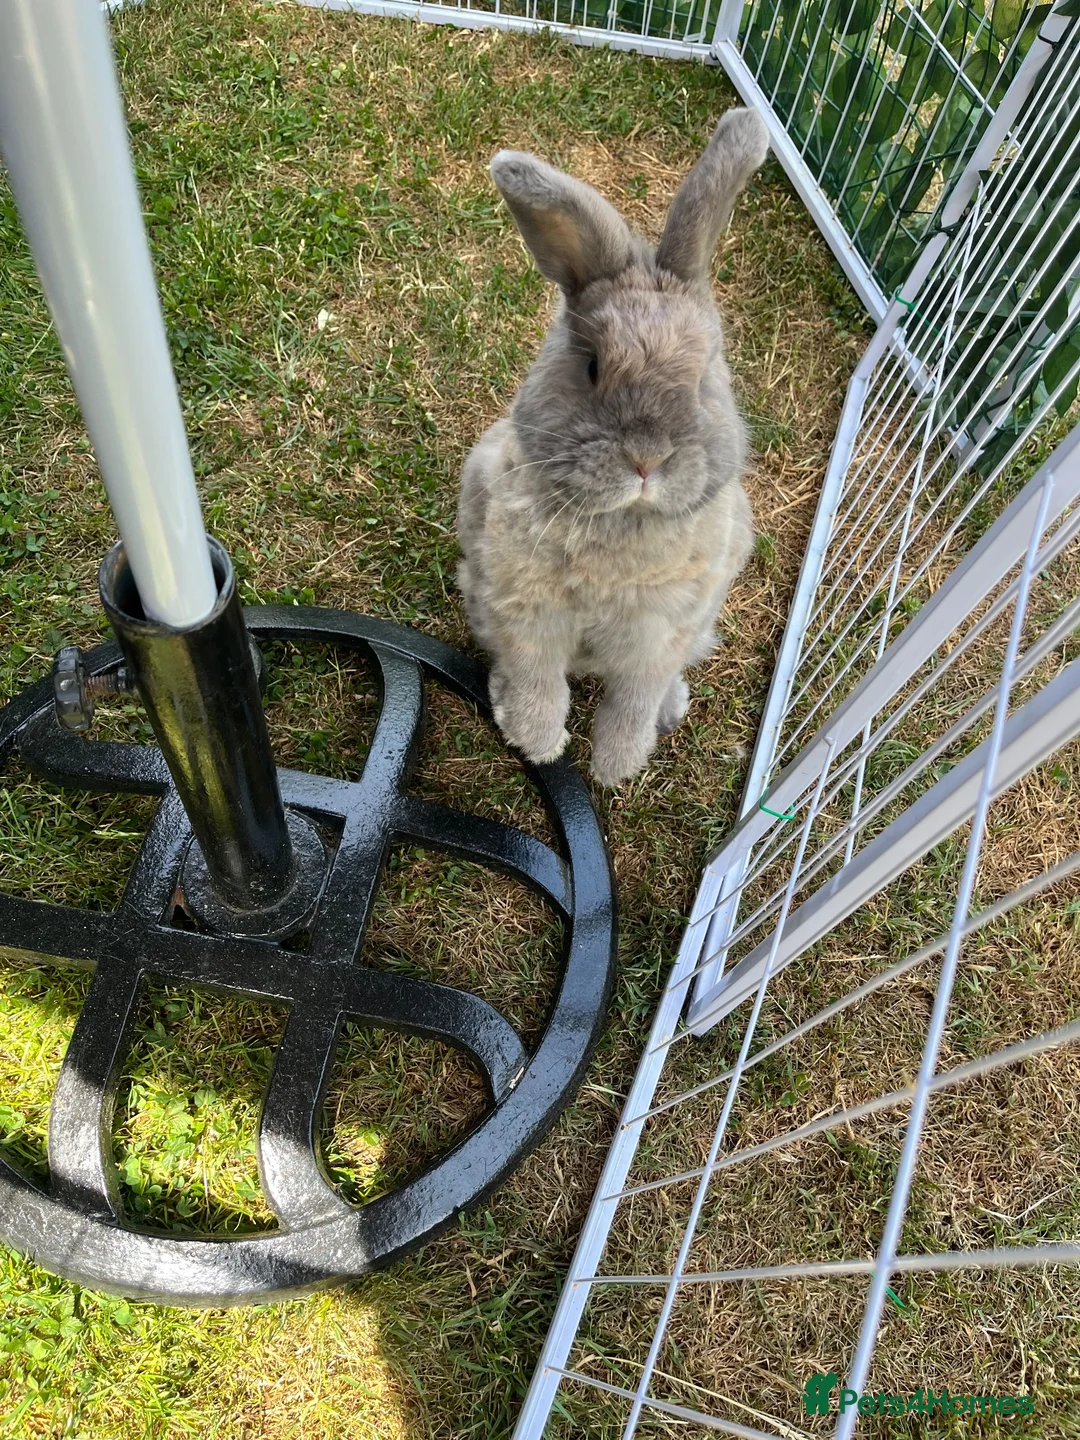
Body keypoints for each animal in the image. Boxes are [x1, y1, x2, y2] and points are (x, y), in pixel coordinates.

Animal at [456, 107, 768, 786]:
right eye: (593, 366)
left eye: (705, 376)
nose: (646, 459)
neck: (622, 524)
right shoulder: (527, 614)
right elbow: (539, 679)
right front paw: (539, 743)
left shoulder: (659, 635)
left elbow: (634, 697)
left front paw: (615, 767)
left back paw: (670, 712)